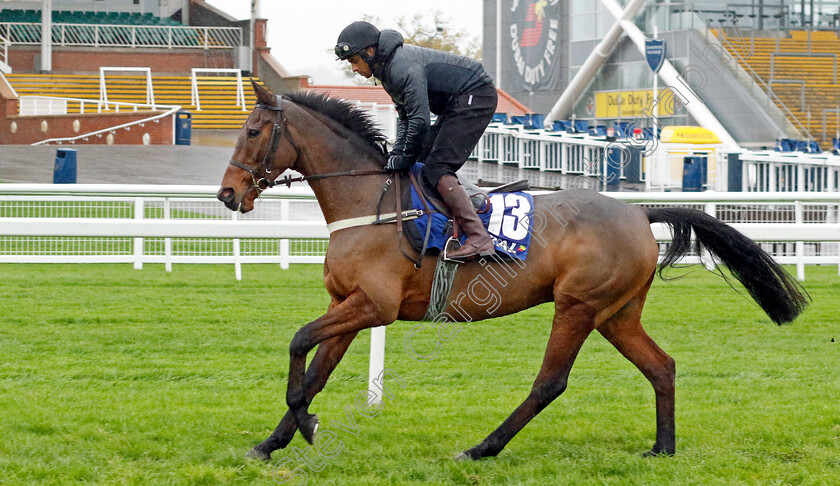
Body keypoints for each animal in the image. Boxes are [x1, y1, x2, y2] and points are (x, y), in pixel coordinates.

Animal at [217, 82, 808, 464]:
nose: (226, 194)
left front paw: (306, 426)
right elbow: (314, 370)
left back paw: (483, 447)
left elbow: (299, 343)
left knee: (550, 382)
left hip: (579, 306)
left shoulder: (373, 305)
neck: (370, 202)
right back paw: (662, 449)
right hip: (617, 313)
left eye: (253, 130)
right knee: (661, 366)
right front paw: (272, 443)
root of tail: (639, 212)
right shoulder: (348, 305)